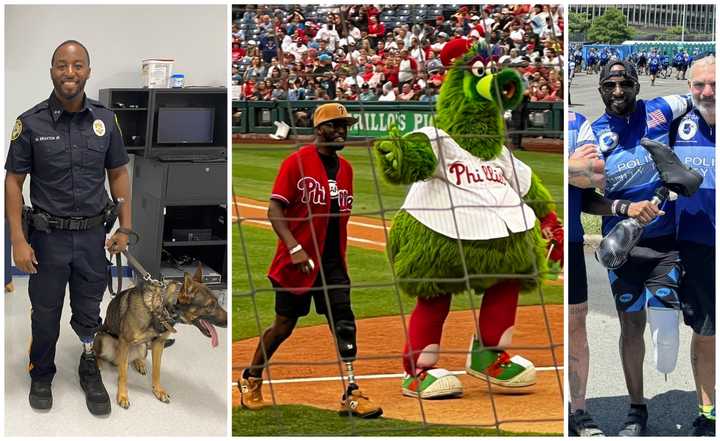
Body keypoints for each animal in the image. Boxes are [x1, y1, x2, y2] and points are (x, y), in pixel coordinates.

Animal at [93, 262, 225, 408]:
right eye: (210, 306)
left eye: (217, 302)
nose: (228, 321)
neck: (162, 307)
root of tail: (114, 360)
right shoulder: (125, 342)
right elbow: (123, 375)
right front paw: (122, 395)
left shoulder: (158, 344)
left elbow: (157, 371)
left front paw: (158, 391)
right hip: (103, 339)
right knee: (100, 354)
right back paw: (98, 362)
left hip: (143, 347)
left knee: (134, 358)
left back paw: (139, 363)